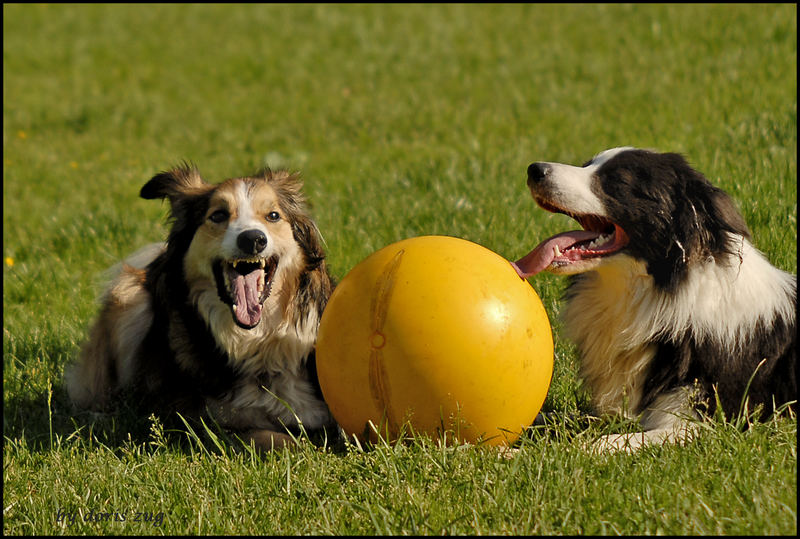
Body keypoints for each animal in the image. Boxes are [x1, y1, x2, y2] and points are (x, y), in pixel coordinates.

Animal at [65, 166, 334, 452]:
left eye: (273, 215)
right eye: (218, 215)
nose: (253, 239)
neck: (257, 340)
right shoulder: (195, 418)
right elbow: (265, 435)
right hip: (127, 297)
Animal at [512, 148, 792, 452]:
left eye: (617, 180)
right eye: (587, 165)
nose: (533, 169)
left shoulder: (709, 422)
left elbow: (597, 444)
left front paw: (529, 452)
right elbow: (560, 419)